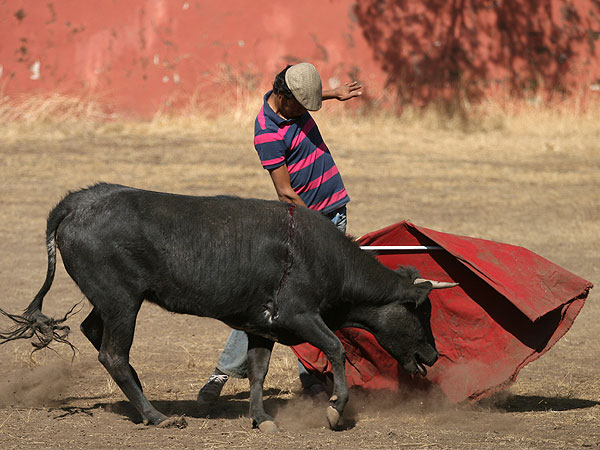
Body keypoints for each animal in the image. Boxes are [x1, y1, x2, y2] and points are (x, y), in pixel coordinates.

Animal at [0, 184, 454, 432]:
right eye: (420, 310)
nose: (433, 354)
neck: (328, 260)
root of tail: (76, 204)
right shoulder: (300, 316)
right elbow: (337, 349)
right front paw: (334, 411)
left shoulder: (260, 327)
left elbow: (258, 371)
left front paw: (262, 418)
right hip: (122, 301)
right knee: (113, 353)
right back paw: (157, 416)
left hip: (112, 301)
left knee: (96, 335)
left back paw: (146, 406)